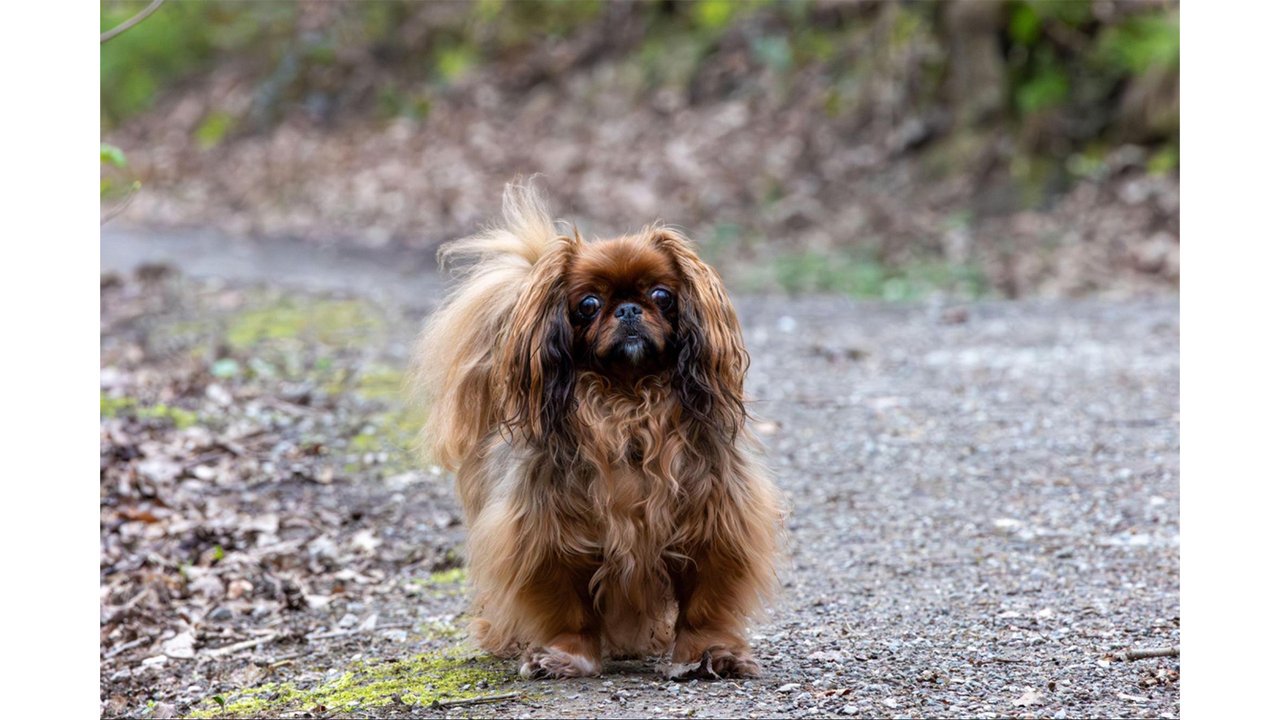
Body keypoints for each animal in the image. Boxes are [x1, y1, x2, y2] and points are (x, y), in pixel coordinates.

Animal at [414, 181, 783, 676]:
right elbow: (567, 606)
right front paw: (566, 656)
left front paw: (711, 653)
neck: (627, 403)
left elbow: (704, 603)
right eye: (588, 305)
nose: (627, 309)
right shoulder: (547, 533)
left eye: (662, 296)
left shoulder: (715, 521)